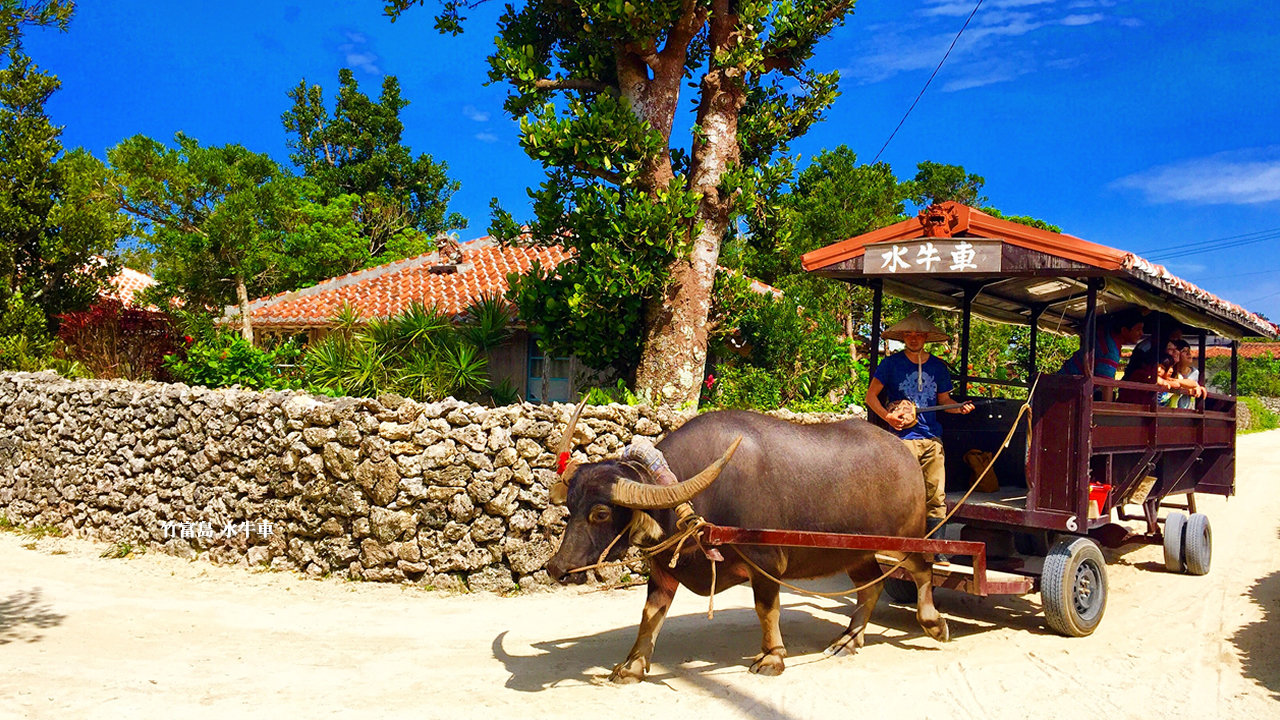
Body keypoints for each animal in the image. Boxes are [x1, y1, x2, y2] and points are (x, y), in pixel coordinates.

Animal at [545, 407, 947, 681]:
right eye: (570, 506)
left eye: (600, 513)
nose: (557, 569)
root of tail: (906, 455)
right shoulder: (664, 569)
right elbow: (650, 615)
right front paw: (632, 665)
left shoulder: (765, 562)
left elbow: (766, 609)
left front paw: (772, 657)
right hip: (855, 551)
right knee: (870, 586)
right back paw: (848, 640)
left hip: (907, 537)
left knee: (922, 569)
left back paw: (933, 623)